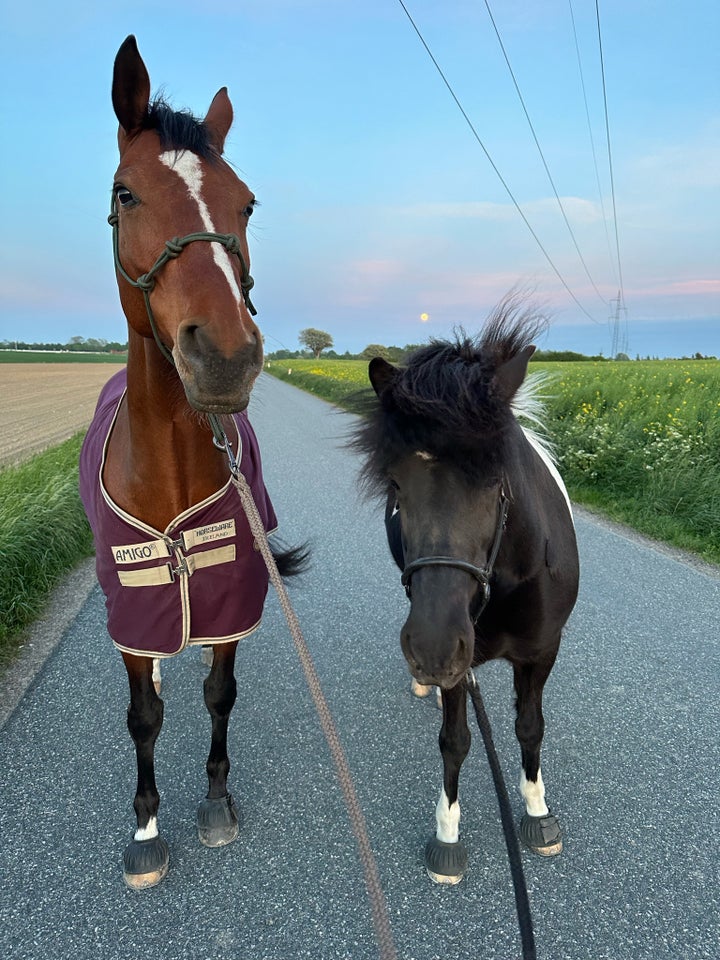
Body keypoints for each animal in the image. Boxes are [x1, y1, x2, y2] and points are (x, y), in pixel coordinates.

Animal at [79, 37, 304, 892]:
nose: (227, 357)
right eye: (126, 192)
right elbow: (143, 714)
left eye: (246, 204)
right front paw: (146, 825)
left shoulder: (230, 594)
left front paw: (214, 800)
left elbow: (220, 691)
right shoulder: (135, 609)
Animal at [352, 296, 584, 880]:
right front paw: (447, 836)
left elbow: (530, 727)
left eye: (496, 480)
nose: (432, 649)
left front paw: (537, 812)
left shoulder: (542, 652)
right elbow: (455, 742)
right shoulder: (459, 655)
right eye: (395, 485)